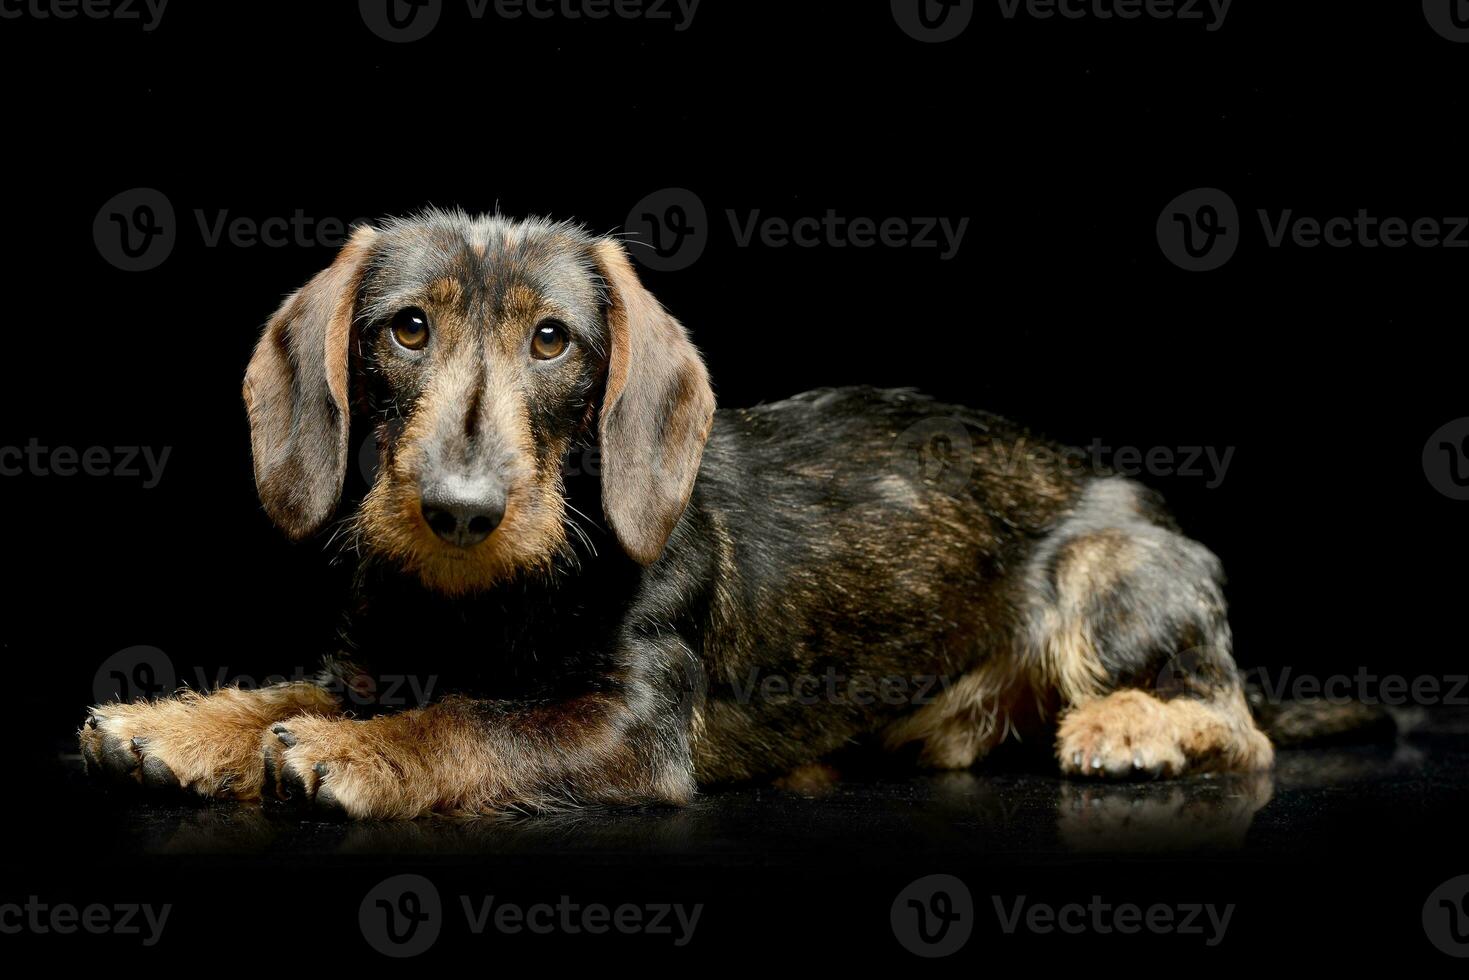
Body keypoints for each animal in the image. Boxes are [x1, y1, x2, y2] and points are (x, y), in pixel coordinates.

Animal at [77, 208, 1275, 822]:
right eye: (406, 327)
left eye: (552, 339)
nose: (458, 510)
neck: (484, 599)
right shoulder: (371, 664)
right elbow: (294, 688)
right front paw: (182, 724)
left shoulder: (626, 729)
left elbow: (472, 722)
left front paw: (354, 752)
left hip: (1105, 569)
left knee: (1244, 727)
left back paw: (1131, 725)